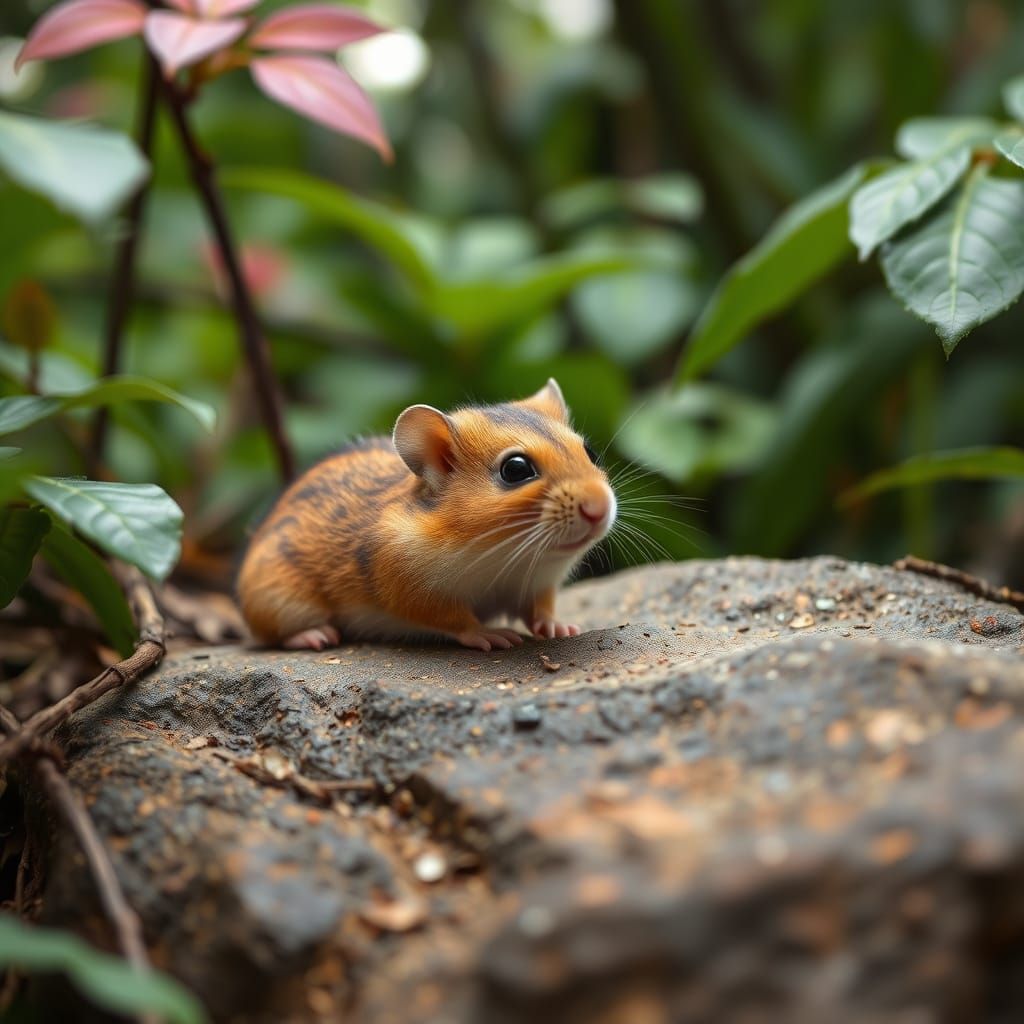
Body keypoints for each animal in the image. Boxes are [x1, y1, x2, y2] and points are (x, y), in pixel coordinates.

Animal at [237, 379, 616, 652]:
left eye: (590, 452)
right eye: (515, 469)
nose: (599, 508)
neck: (507, 554)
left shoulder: (539, 585)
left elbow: (541, 608)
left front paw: (559, 627)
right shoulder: (411, 591)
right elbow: (455, 619)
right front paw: (491, 634)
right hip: (279, 602)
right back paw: (314, 636)